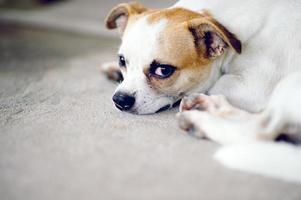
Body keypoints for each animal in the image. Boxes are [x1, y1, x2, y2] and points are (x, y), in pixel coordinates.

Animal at [101, 0, 300, 184]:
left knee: (258, 130)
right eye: (121, 60)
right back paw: (212, 106)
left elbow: (215, 85)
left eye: (163, 70)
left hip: (288, 85)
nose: (120, 99)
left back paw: (200, 120)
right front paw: (113, 71)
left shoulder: (251, 87)